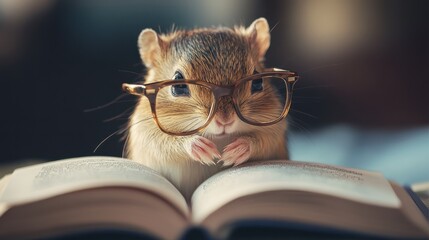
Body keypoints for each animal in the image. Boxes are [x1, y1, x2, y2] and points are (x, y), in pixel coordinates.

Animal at [125, 17, 290, 200]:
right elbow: (162, 142)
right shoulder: (145, 131)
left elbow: (265, 141)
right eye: (178, 86)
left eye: (258, 82)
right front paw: (199, 146)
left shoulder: (276, 130)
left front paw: (239, 149)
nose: (225, 120)